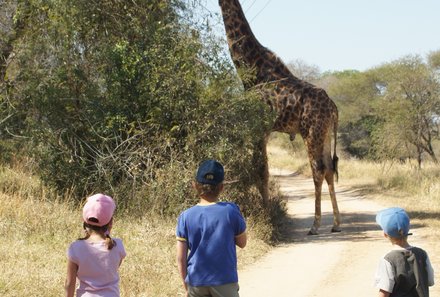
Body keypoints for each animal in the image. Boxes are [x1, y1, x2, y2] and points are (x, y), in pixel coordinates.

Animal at [219, 0, 340, 234]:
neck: (252, 69)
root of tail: (333, 108)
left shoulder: (259, 128)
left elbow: (261, 170)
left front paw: (266, 215)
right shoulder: (263, 130)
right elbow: (261, 170)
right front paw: (266, 212)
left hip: (311, 132)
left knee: (318, 170)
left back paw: (315, 225)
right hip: (326, 133)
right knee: (330, 168)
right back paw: (336, 224)